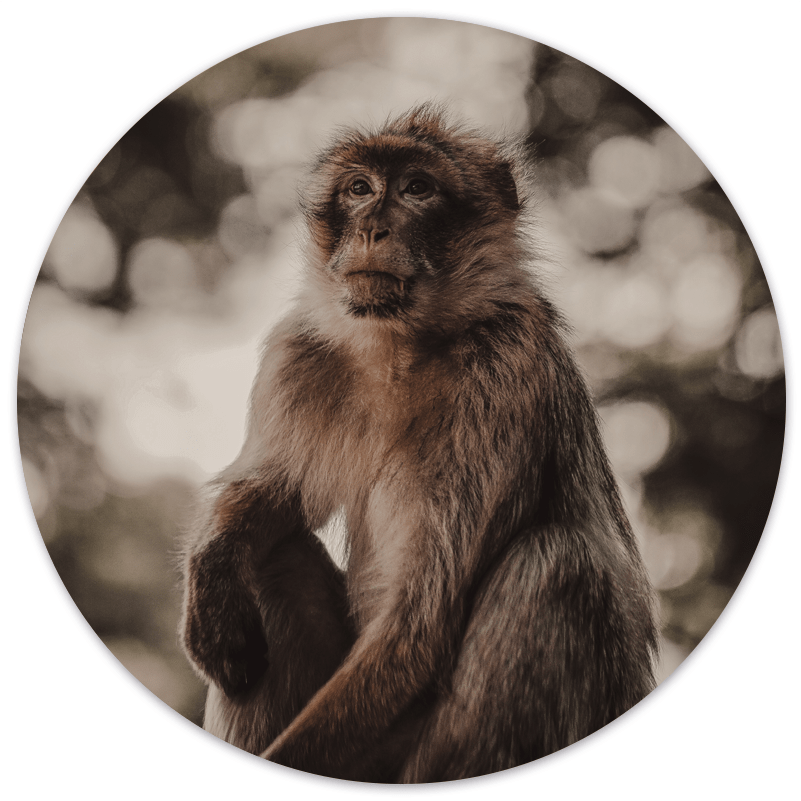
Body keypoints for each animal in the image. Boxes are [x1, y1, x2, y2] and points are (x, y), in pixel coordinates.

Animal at [181, 105, 658, 782]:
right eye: (359, 189)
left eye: (416, 189)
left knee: (556, 564)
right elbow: (271, 494)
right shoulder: (298, 355)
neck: (400, 347)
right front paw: (212, 568)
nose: (373, 228)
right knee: (273, 556)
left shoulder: (505, 371)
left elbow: (419, 618)